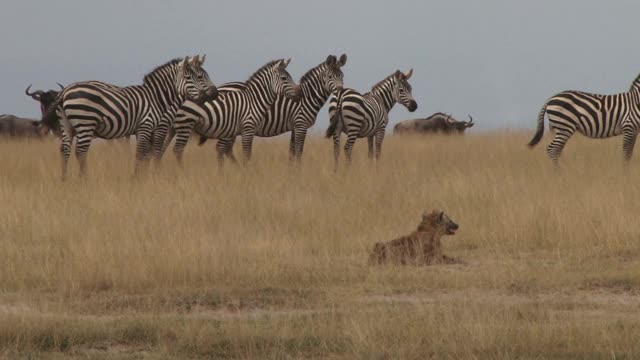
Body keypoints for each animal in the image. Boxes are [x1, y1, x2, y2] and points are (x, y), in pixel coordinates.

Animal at [53, 55, 218, 179]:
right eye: (197, 77)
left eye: (204, 76)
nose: (215, 94)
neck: (156, 98)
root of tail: (65, 91)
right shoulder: (149, 126)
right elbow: (145, 153)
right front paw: (140, 177)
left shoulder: (148, 129)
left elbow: (147, 153)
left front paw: (147, 175)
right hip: (85, 123)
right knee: (81, 151)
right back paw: (84, 179)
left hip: (67, 125)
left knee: (65, 150)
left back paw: (64, 179)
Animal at [169, 58, 302, 166]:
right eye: (284, 78)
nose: (300, 94)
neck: (254, 100)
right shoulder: (248, 129)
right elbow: (247, 154)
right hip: (187, 125)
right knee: (178, 150)